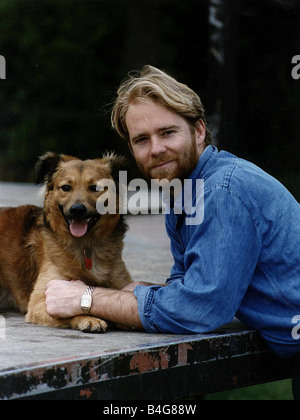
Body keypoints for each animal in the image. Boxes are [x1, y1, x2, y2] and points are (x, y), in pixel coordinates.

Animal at [0, 153, 132, 334]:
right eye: (66, 187)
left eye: (95, 188)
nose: (77, 210)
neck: (86, 245)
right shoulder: (40, 301)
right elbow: (67, 311)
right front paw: (89, 319)